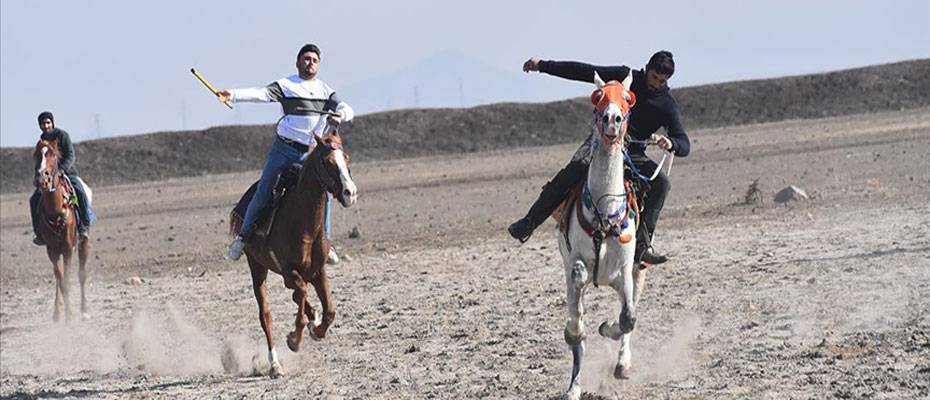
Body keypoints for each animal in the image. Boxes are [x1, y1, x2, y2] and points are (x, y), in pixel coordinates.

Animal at [32, 139, 90, 320]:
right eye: (36, 154)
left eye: (53, 154)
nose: (42, 176)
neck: (56, 209)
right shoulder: (52, 250)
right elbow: (60, 279)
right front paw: (66, 314)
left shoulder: (68, 248)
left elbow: (68, 280)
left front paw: (71, 315)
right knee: (59, 278)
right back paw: (57, 312)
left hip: (83, 243)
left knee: (81, 274)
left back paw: (84, 310)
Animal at [228, 130, 356, 378]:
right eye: (327, 162)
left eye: (346, 158)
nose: (350, 193)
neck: (303, 223)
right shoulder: (288, 270)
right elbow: (301, 297)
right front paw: (294, 340)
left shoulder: (317, 271)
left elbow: (330, 310)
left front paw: (317, 328)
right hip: (257, 267)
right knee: (266, 315)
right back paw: (275, 365)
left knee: (298, 296)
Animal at [556, 72, 640, 400]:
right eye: (598, 96)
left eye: (628, 98)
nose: (612, 120)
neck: (605, 212)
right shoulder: (574, 262)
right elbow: (578, 284)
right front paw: (576, 331)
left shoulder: (625, 271)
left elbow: (628, 318)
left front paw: (608, 327)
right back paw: (574, 387)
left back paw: (623, 364)